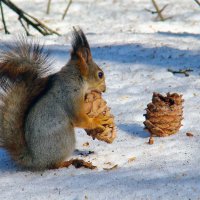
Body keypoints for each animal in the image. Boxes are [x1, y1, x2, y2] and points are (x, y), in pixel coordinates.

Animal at [0, 27, 111, 170]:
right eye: (100, 74)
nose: (104, 89)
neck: (74, 78)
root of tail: (34, 161)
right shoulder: (70, 97)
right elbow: (80, 119)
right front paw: (97, 120)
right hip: (65, 140)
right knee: (54, 164)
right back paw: (71, 162)